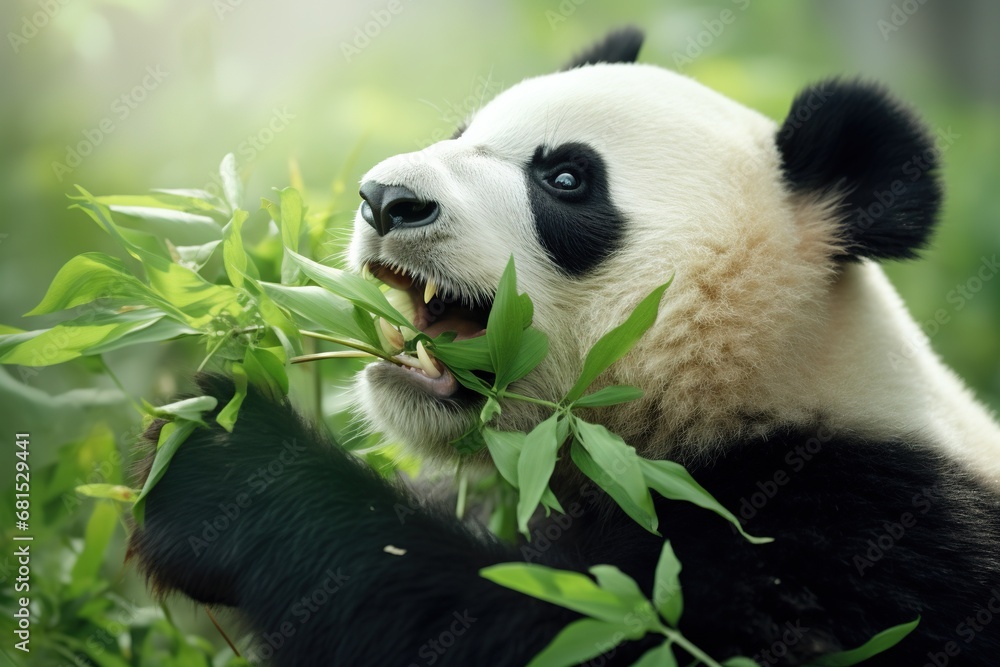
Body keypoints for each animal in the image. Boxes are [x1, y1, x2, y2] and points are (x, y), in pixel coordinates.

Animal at [129, 27, 1000, 666]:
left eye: (567, 179)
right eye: (460, 134)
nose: (386, 198)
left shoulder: (852, 539)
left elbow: (552, 630)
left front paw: (221, 463)